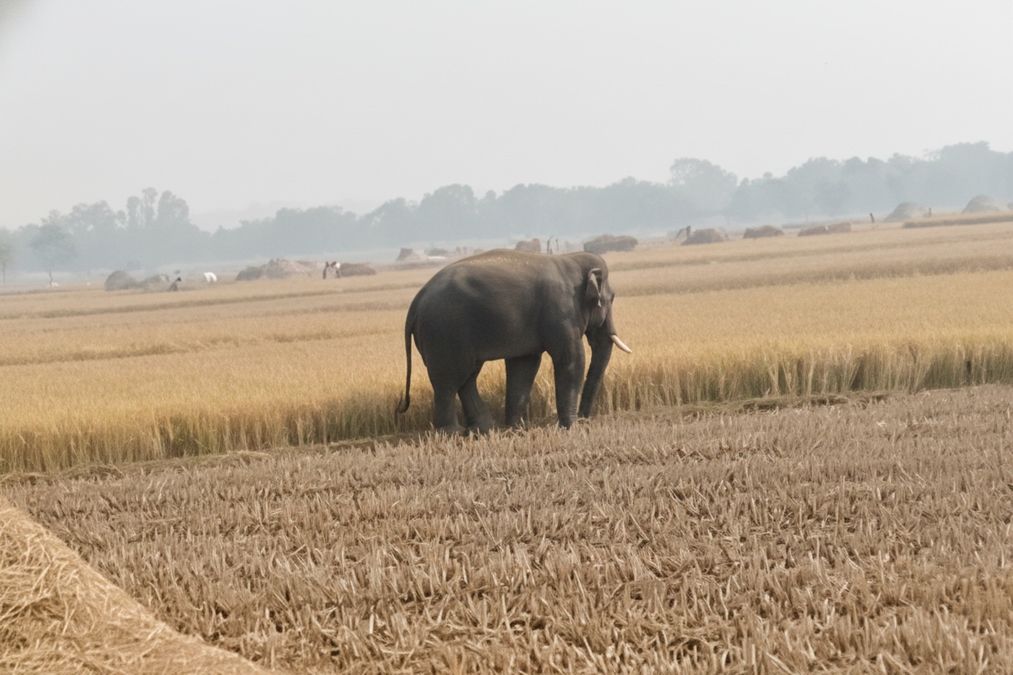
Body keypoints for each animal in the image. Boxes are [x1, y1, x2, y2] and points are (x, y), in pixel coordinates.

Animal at [396, 249, 631, 432]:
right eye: (610, 299)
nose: (585, 420)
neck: (571, 259)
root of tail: (416, 302)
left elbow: (524, 365)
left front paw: (516, 429)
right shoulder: (562, 312)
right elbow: (571, 359)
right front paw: (570, 427)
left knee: (467, 377)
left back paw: (484, 429)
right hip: (444, 334)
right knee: (448, 380)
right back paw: (453, 432)